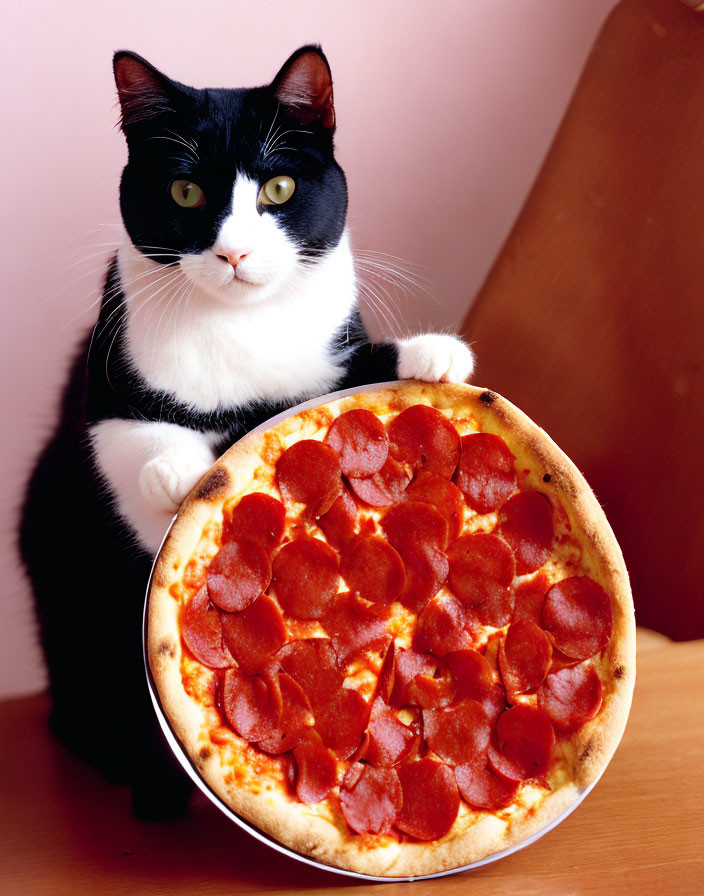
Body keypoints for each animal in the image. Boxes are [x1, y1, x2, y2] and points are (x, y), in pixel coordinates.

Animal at [20, 45, 472, 820]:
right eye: (185, 193)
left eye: (279, 187)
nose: (232, 254)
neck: (238, 328)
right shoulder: (107, 387)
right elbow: (134, 445)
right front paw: (179, 472)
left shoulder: (325, 359)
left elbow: (348, 375)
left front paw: (434, 356)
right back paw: (141, 780)